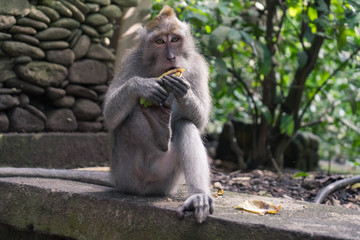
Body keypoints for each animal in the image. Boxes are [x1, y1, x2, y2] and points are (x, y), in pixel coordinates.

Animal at [0, 5, 214, 223]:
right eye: (160, 41)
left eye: (175, 39)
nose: (171, 57)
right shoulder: (131, 61)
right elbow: (110, 115)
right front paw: (141, 86)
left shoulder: (197, 66)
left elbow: (199, 121)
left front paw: (183, 90)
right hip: (125, 172)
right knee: (129, 118)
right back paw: (159, 125)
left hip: (166, 182)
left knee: (185, 125)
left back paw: (197, 195)